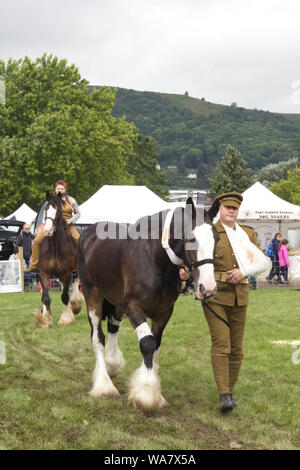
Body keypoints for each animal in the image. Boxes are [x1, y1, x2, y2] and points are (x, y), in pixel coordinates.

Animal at [35, 193, 84, 328]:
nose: (47, 230)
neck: (55, 247)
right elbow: (45, 297)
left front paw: (65, 319)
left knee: (75, 283)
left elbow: (65, 296)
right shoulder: (44, 273)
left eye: (57, 211)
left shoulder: (66, 273)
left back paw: (76, 305)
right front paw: (45, 320)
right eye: (46, 209)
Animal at [76, 197, 219, 414]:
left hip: (117, 302)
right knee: (97, 337)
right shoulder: (134, 307)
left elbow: (156, 345)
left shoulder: (164, 312)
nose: (208, 288)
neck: (156, 259)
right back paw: (104, 385)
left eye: (217, 239)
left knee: (112, 327)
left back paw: (112, 364)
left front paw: (153, 392)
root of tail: (87, 234)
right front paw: (145, 394)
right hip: (92, 294)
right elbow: (148, 343)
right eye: (190, 238)